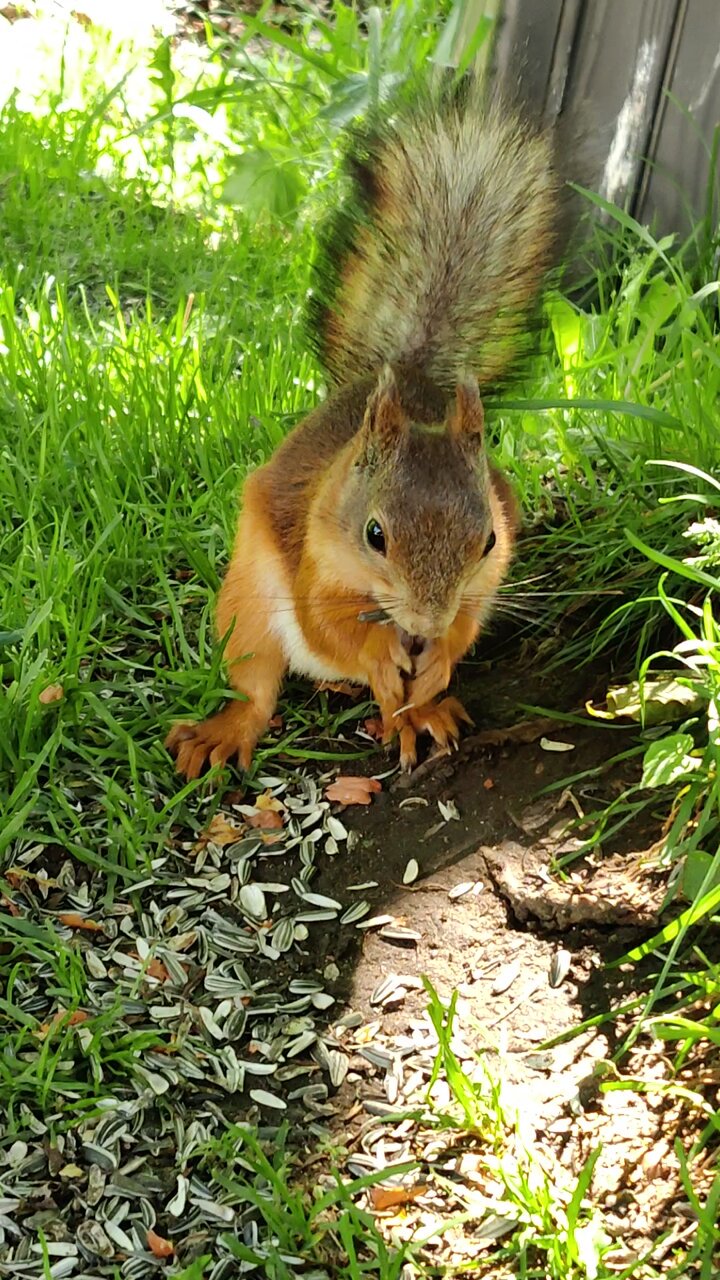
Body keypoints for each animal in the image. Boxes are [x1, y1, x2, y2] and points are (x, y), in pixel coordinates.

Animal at [166, 82, 566, 778]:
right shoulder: (315, 557)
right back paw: (230, 728)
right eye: (374, 534)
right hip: (247, 609)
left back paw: (420, 713)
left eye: (489, 539)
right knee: (258, 687)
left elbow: (467, 622)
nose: (424, 623)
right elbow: (327, 625)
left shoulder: (485, 581)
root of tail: (410, 373)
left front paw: (438, 658)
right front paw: (381, 654)